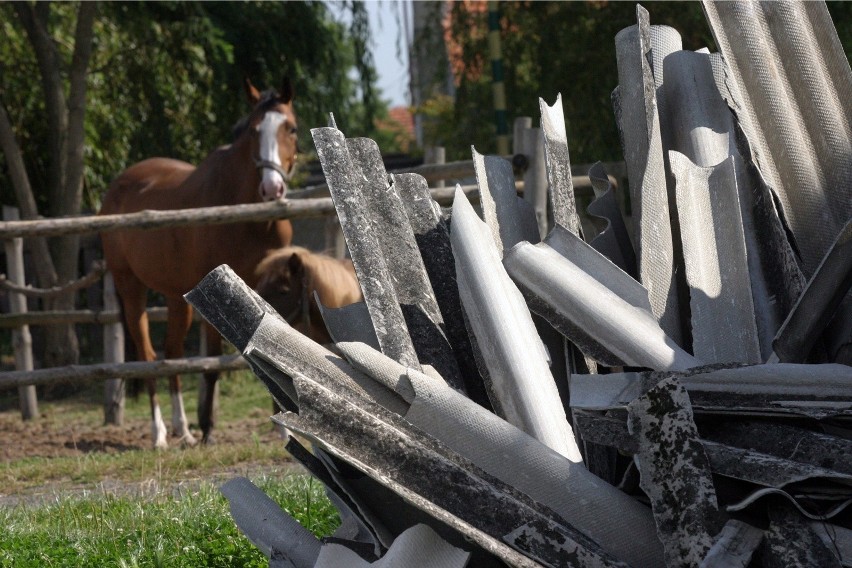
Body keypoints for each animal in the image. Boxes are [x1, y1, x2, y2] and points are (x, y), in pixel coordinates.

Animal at [99, 77, 298, 448]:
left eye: (290, 128)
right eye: (254, 130)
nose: (272, 188)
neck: (251, 218)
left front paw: (283, 428)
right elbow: (213, 363)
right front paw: (208, 430)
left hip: (176, 298)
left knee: (172, 354)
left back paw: (183, 429)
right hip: (130, 287)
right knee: (149, 357)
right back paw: (161, 434)